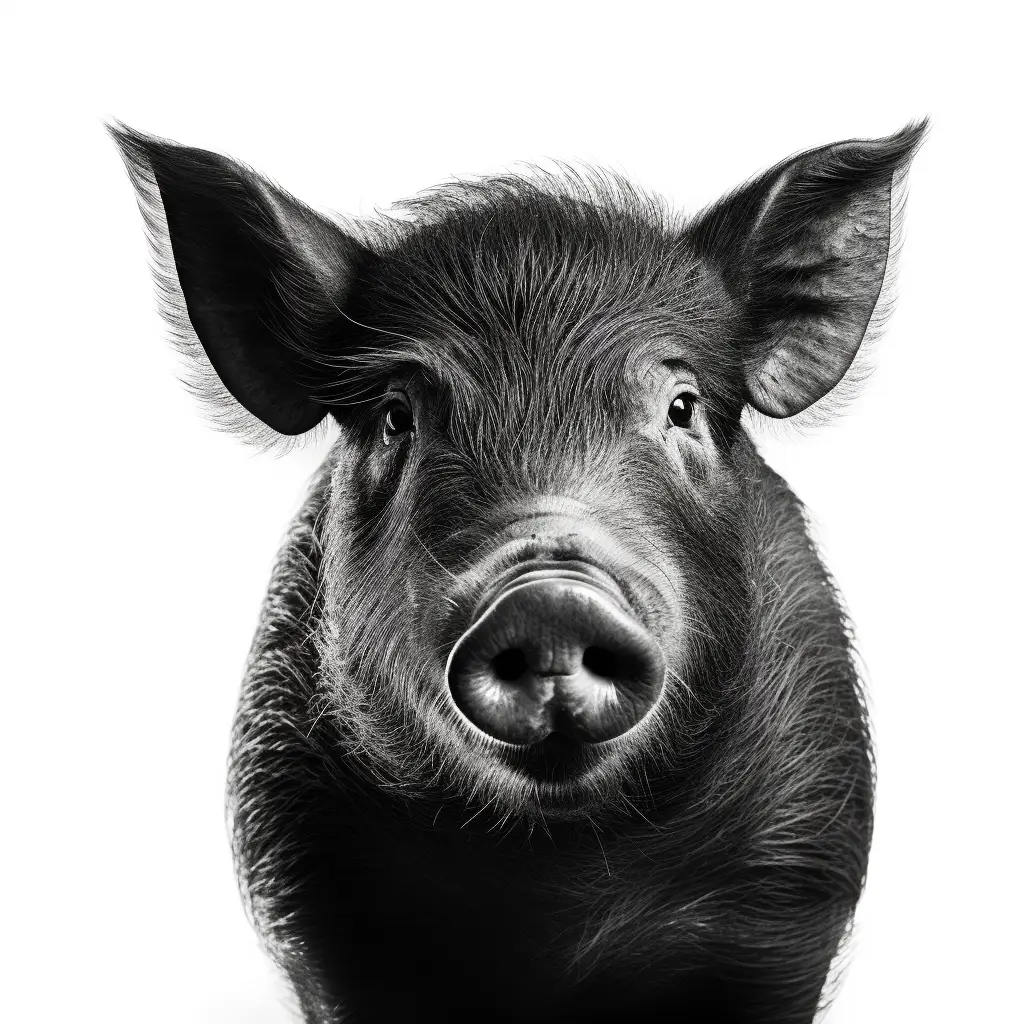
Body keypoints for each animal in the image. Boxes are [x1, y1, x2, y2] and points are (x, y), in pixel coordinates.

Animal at [112, 121, 925, 1023]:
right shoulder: (307, 893)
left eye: (681, 407)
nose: (550, 598)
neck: (556, 873)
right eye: (396, 416)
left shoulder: (791, 892)